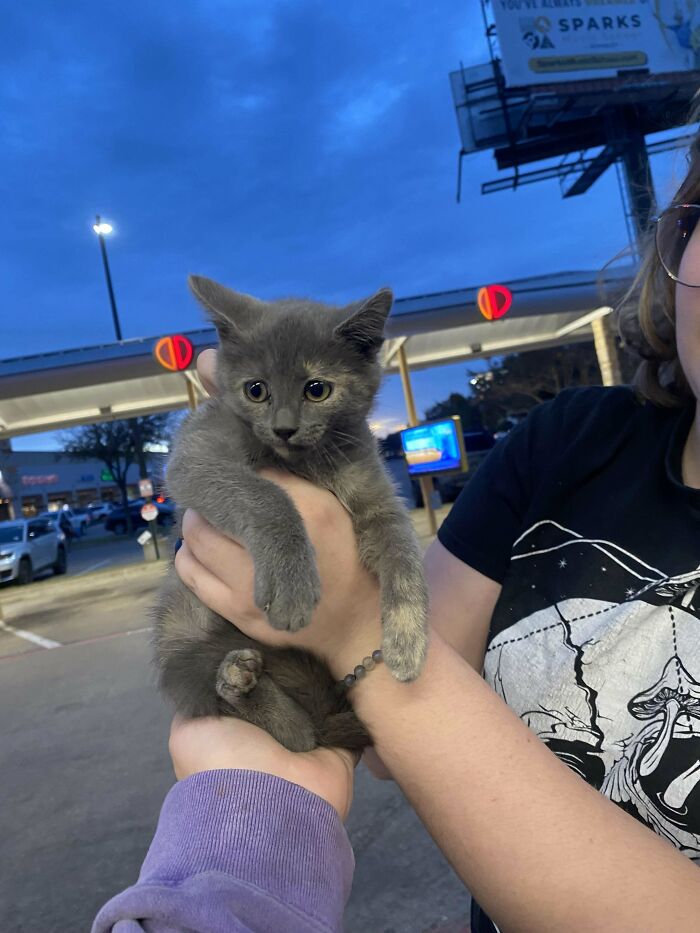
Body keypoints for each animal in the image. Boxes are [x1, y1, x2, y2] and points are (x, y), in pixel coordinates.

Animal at [152, 274, 426, 748]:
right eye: (255, 389)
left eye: (317, 389)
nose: (283, 428)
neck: (301, 460)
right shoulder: (195, 455)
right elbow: (266, 494)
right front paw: (292, 585)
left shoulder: (373, 488)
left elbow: (401, 547)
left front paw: (407, 641)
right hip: (179, 626)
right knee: (295, 733)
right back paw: (239, 682)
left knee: (306, 734)